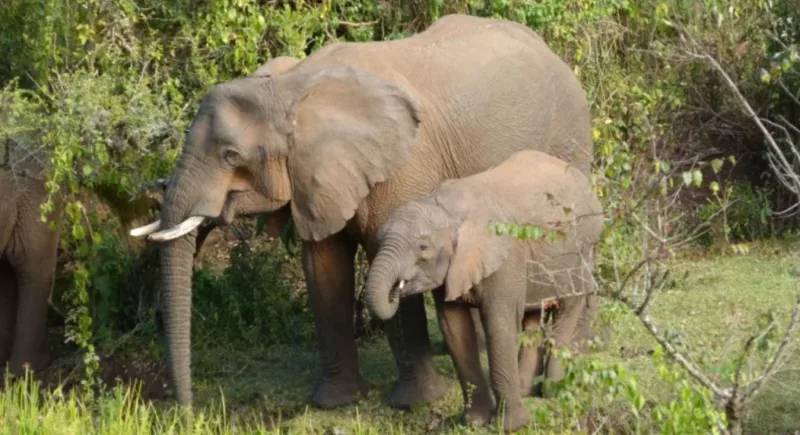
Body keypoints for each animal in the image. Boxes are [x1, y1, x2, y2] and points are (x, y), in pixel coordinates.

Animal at [129, 14, 595, 409]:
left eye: (230, 156)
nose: (184, 409)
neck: (290, 88)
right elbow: (323, 266)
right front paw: (335, 401)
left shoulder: (404, 166)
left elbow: (384, 257)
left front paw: (413, 403)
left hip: (570, 140)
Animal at [364, 150, 605, 431]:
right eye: (379, 239)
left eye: (423, 247)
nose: (396, 289)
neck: (445, 209)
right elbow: (454, 328)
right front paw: (474, 422)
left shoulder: (505, 258)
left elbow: (499, 325)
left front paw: (512, 426)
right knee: (532, 318)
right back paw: (527, 392)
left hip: (582, 249)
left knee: (566, 310)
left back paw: (552, 392)